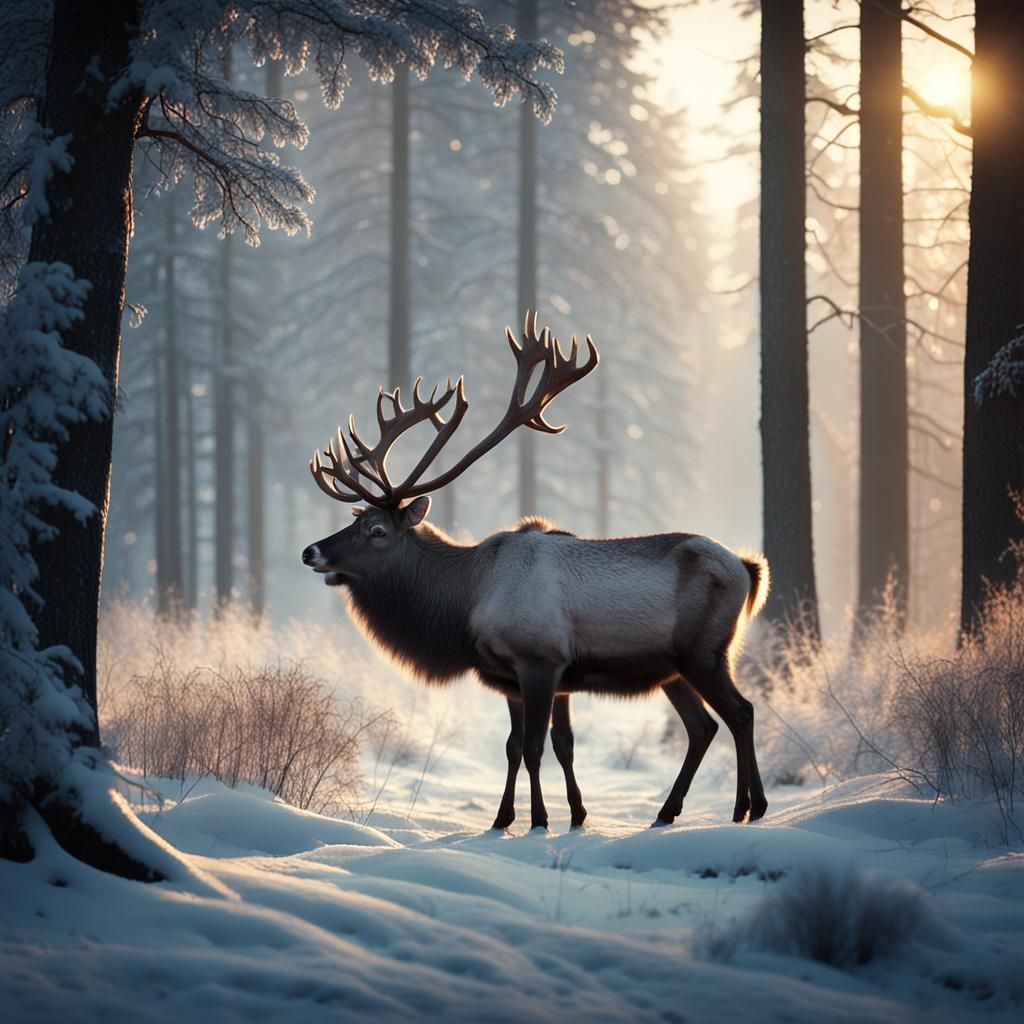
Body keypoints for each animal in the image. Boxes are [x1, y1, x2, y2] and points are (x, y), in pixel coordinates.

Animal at [302, 312, 770, 832]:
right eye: (355, 520)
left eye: (377, 530)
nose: (310, 551)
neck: (465, 603)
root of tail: (749, 568)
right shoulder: (513, 676)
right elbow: (522, 748)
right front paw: (517, 817)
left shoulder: (540, 659)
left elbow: (533, 747)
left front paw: (541, 820)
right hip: (672, 668)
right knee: (704, 726)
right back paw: (674, 811)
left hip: (704, 651)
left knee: (740, 712)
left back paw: (749, 806)